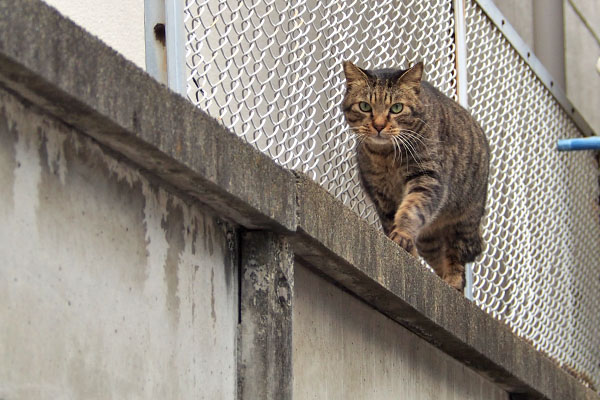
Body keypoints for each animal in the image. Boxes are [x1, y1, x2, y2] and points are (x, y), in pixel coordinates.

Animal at [344, 61, 490, 292]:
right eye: (365, 106)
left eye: (397, 108)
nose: (378, 125)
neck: (387, 156)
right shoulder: (380, 193)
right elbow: (391, 221)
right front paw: (406, 251)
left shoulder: (428, 178)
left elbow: (412, 209)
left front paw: (403, 234)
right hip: (429, 241)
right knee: (439, 258)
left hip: (465, 220)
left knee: (456, 257)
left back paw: (453, 282)